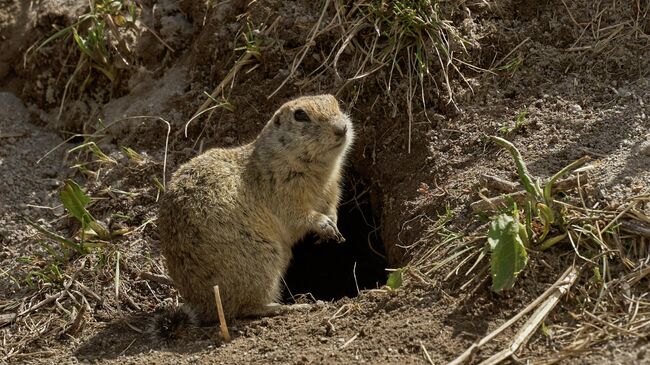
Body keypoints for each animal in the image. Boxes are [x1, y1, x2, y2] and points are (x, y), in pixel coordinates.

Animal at [156, 94, 354, 328]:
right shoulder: (282, 193)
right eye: (300, 115)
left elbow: (331, 206)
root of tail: (202, 306)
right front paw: (323, 224)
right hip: (262, 260)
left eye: (335, 102)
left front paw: (333, 226)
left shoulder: (332, 188)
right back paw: (288, 307)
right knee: (245, 308)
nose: (342, 128)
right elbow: (299, 215)